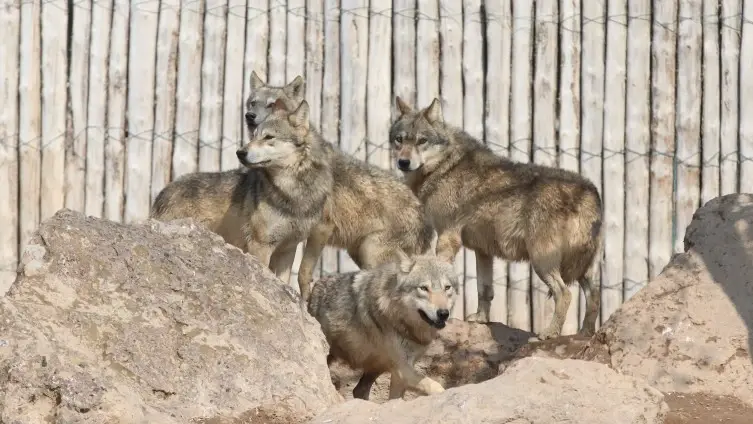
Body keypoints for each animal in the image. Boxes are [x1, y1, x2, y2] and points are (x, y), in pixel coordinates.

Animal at [151, 99, 334, 280]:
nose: (240, 152)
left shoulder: (288, 249)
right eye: (254, 136)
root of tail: (164, 191)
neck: (293, 193)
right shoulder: (260, 245)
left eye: (269, 137)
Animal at [307, 251, 459, 401]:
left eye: (447, 288)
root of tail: (315, 286)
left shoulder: (401, 370)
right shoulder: (402, 369)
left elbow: (395, 400)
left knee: (358, 390)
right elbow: (434, 385)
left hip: (376, 366)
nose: (443, 313)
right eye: (423, 288)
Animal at [388, 96, 604, 340]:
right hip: (583, 269)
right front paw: (481, 319)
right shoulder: (483, 251)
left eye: (422, 141)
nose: (403, 162)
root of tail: (590, 191)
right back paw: (586, 334)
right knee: (595, 296)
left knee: (565, 294)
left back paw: (549, 333)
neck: (445, 166)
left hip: (542, 262)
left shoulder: (447, 238)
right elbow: (485, 290)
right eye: (399, 140)